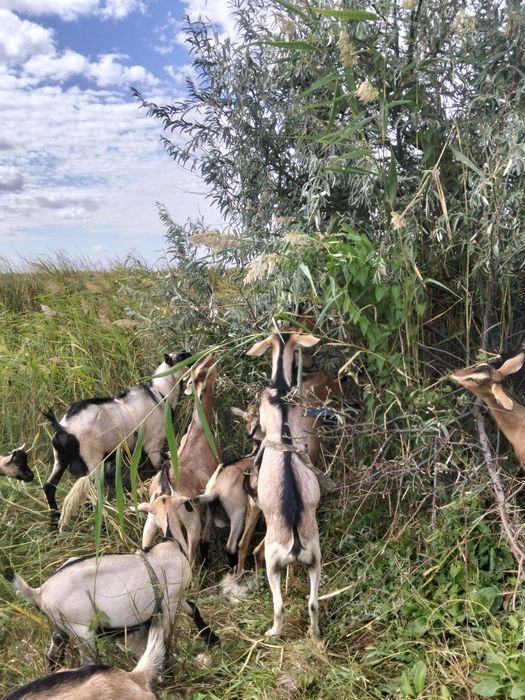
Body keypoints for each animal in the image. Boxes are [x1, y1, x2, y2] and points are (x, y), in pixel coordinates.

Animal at [5, 487, 218, 670]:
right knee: (87, 662)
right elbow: (167, 637)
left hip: (60, 628)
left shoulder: (175, 596)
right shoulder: (169, 601)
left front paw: (213, 639)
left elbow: (193, 609)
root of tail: (39, 592)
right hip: (82, 631)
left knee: (53, 657)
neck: (171, 543)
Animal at [42, 351, 191, 513]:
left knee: (49, 487)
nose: (193, 354)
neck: (159, 394)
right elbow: (159, 468)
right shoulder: (153, 445)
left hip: (60, 460)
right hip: (93, 462)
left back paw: (55, 517)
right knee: (91, 491)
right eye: (181, 357)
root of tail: (63, 428)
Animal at [142, 354, 221, 564]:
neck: (199, 429)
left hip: (150, 523)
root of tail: (165, 489)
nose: (212, 354)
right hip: (191, 525)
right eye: (204, 369)